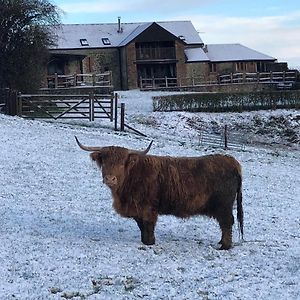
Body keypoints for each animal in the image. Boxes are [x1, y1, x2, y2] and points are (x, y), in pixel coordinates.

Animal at [75, 137, 244, 250]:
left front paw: (150, 242)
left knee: (227, 222)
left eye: (122, 163)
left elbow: (149, 225)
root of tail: (232, 162)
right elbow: (141, 226)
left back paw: (225, 246)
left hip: (223, 205)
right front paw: (144, 240)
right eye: (104, 162)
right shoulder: (137, 210)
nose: (110, 178)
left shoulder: (148, 208)